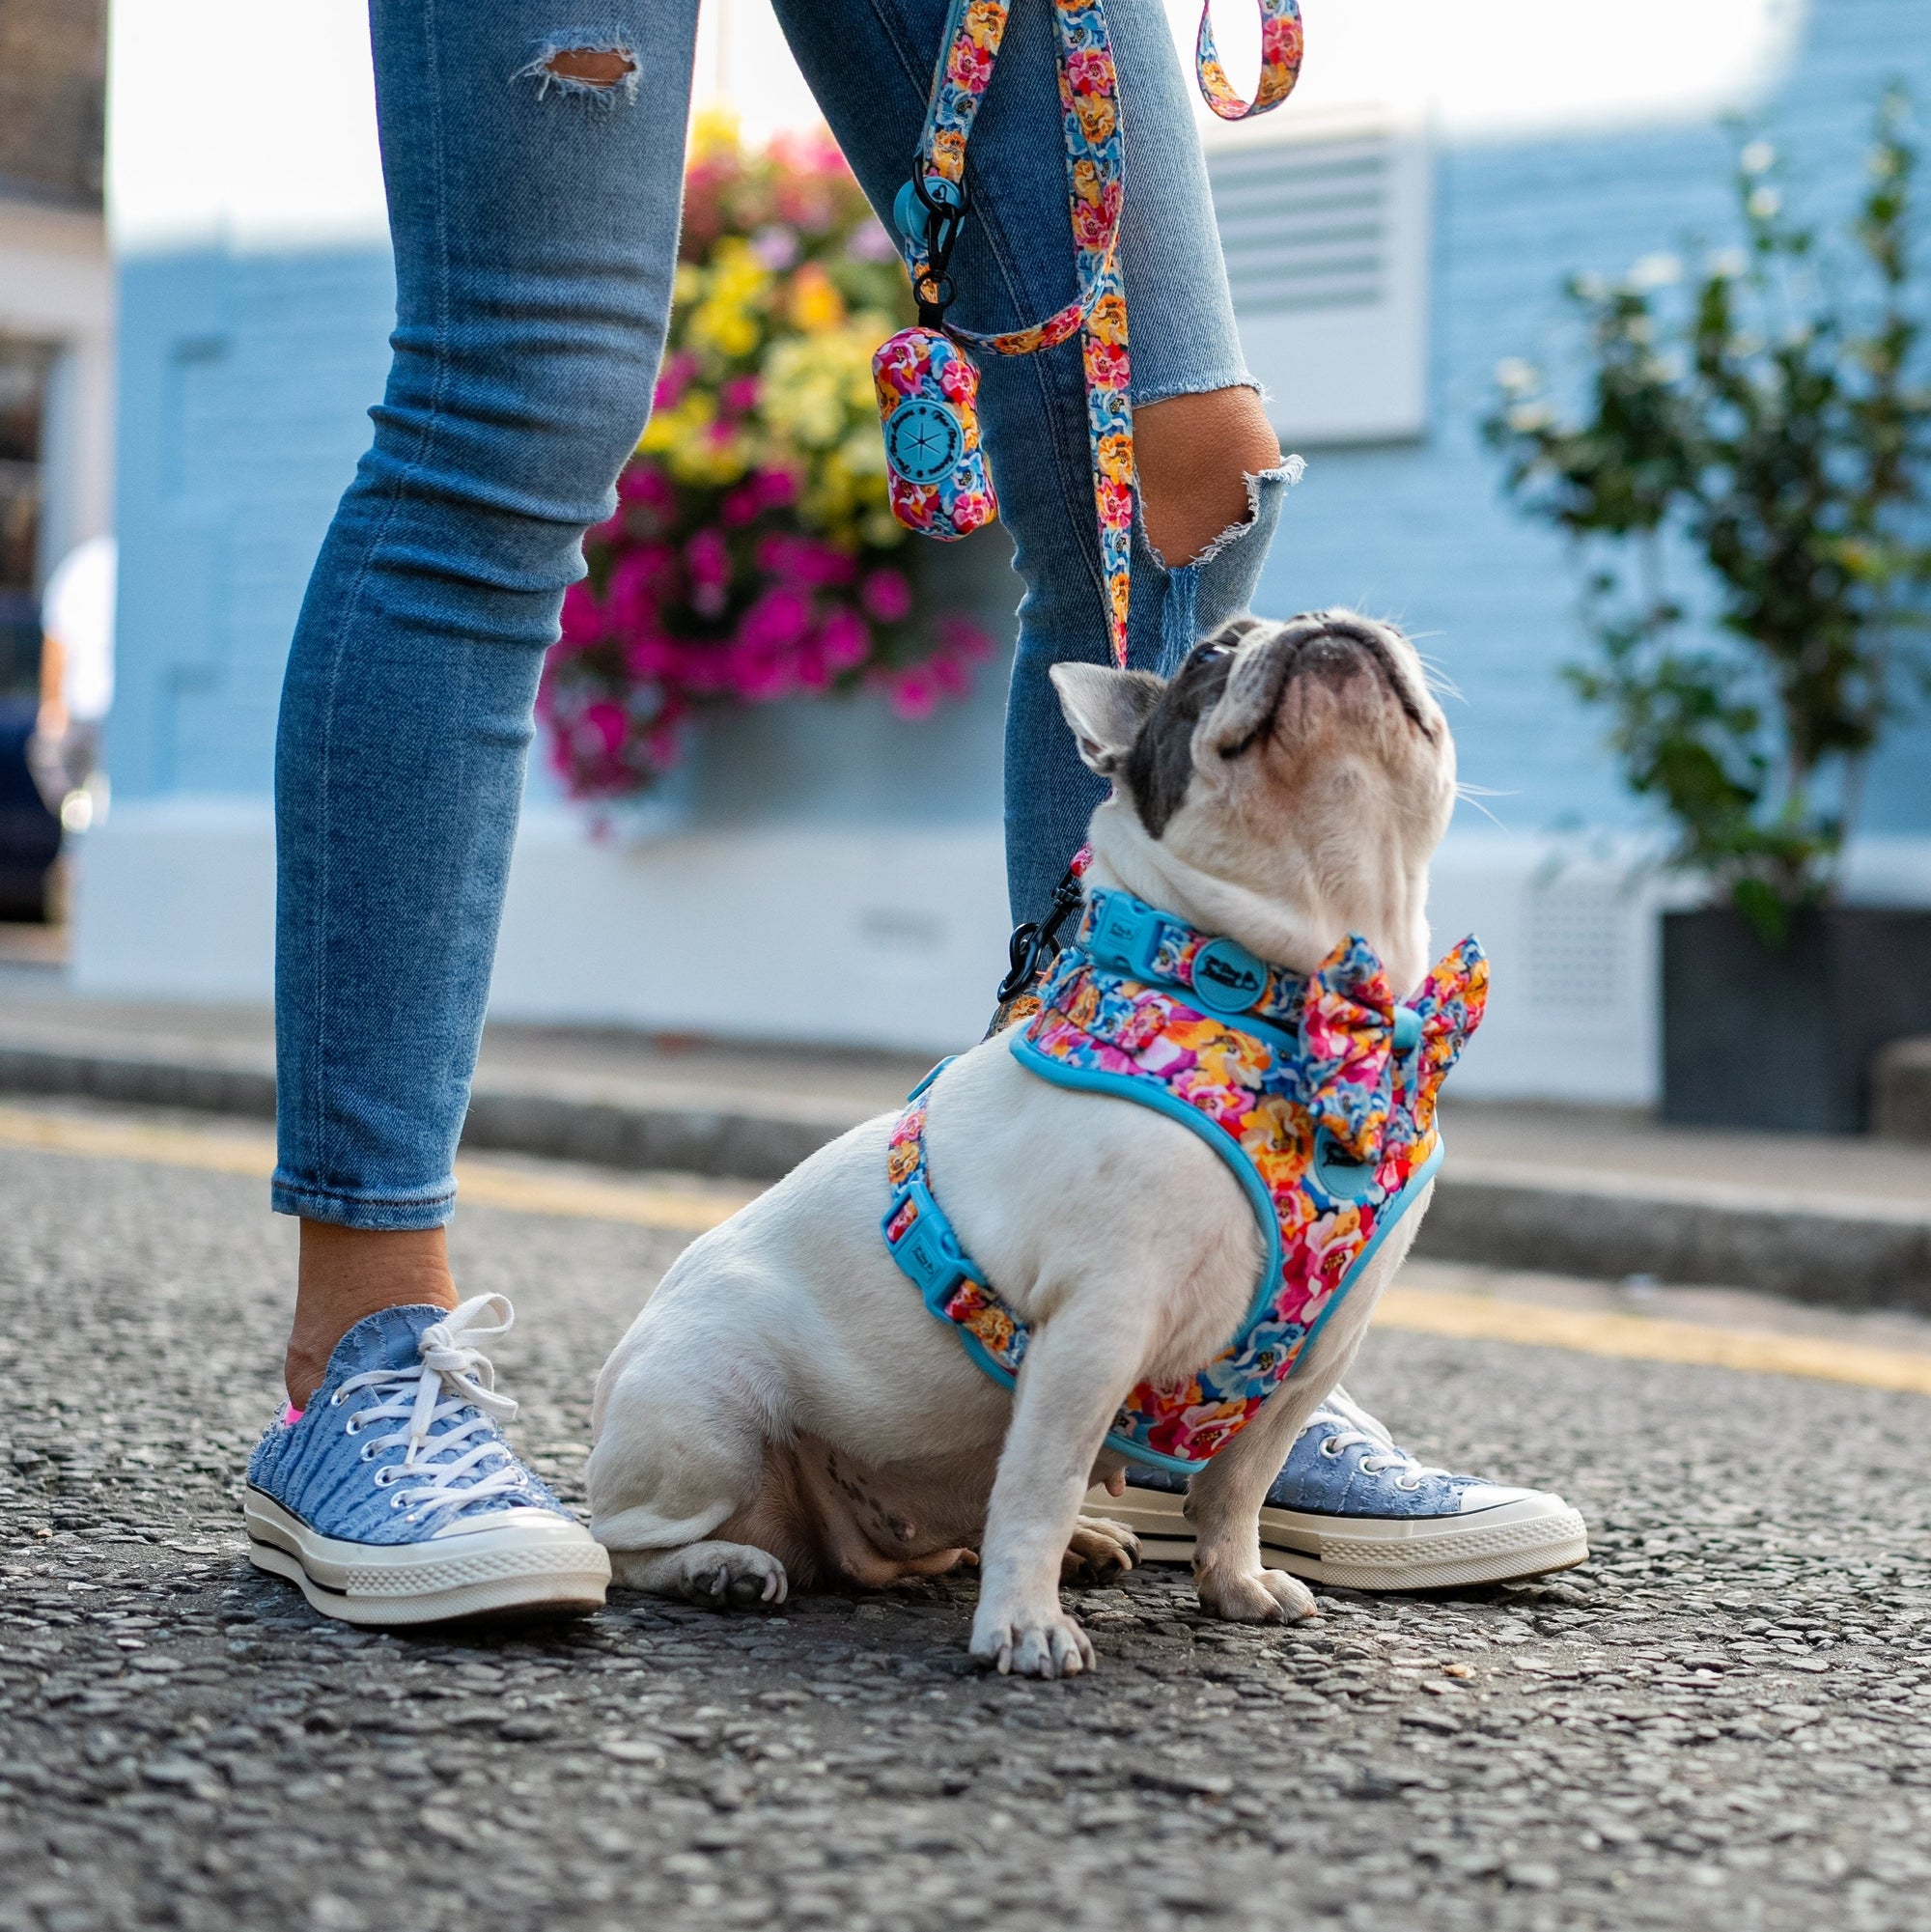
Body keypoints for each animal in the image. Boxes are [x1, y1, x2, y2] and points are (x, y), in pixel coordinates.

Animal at [587, 614, 1460, 1676]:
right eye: (1211, 656)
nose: (1324, 623)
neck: (1302, 1009)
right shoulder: (1096, 1325)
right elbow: (1041, 1483)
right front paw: (1025, 1627)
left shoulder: (1312, 1358)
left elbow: (1237, 1486)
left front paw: (1235, 1583)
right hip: (705, 1411)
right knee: (628, 1549)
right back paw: (723, 1568)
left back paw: (1081, 1543)